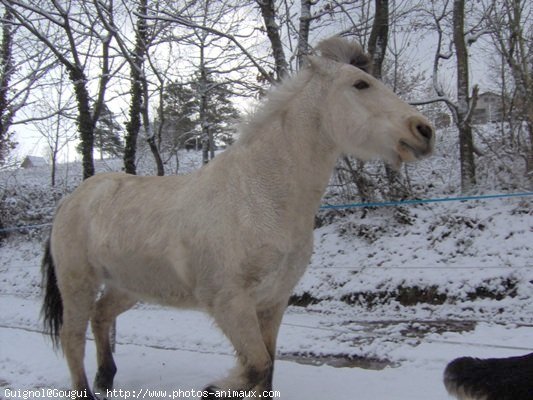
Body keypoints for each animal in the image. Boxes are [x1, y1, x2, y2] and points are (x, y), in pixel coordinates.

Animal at [41, 36, 432, 398]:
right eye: (361, 84)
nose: (424, 130)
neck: (258, 197)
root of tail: (73, 199)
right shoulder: (231, 304)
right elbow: (257, 366)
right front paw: (214, 388)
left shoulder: (273, 302)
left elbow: (268, 370)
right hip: (78, 283)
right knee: (72, 337)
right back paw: (88, 388)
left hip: (129, 285)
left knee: (101, 316)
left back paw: (106, 379)